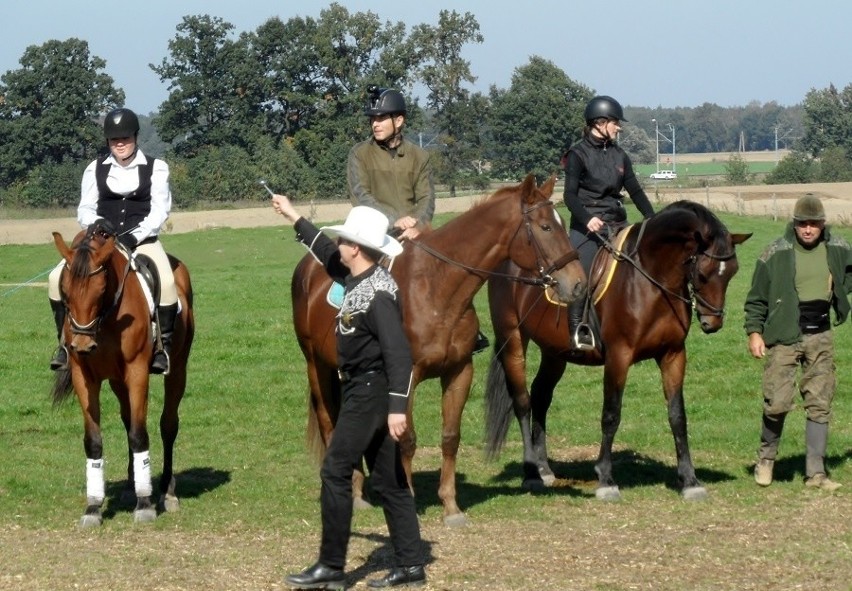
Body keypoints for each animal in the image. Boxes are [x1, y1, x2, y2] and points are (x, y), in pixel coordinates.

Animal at [51, 225, 195, 528]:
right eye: (64, 291)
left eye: (101, 288)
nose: (82, 345)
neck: (107, 319)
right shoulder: (84, 377)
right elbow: (94, 440)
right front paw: (93, 506)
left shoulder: (136, 371)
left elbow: (140, 434)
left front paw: (145, 504)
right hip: (117, 381)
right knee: (128, 420)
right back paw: (132, 483)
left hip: (177, 369)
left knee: (168, 425)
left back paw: (166, 491)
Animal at [292, 173, 584, 524]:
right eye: (545, 227)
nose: (578, 284)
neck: (436, 287)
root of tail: (307, 268)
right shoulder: (405, 378)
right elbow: (407, 441)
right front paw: (409, 500)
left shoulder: (459, 371)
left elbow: (450, 437)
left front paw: (450, 506)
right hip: (316, 366)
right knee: (329, 423)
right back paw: (354, 492)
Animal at [486, 201, 752, 502]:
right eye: (703, 273)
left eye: (732, 272)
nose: (712, 323)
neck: (651, 279)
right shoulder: (618, 356)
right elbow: (611, 415)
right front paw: (605, 478)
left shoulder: (673, 355)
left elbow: (678, 416)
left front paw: (689, 480)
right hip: (513, 340)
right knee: (523, 402)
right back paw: (531, 474)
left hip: (554, 352)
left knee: (541, 396)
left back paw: (544, 468)